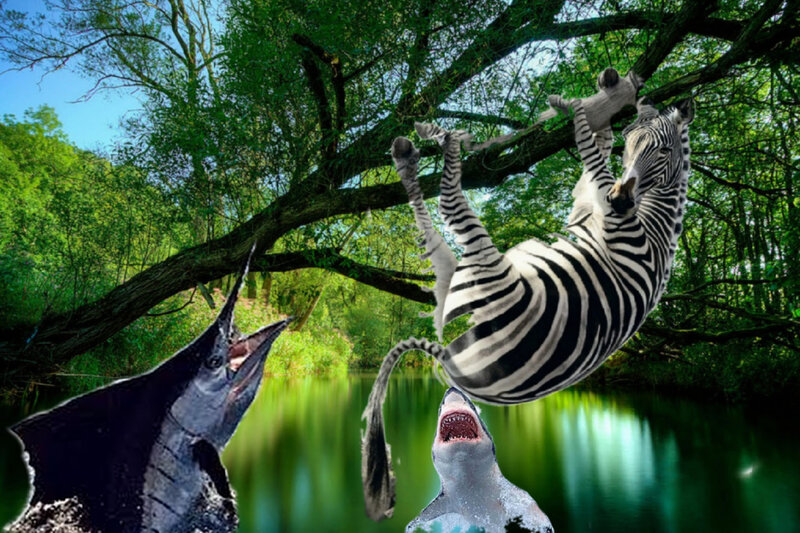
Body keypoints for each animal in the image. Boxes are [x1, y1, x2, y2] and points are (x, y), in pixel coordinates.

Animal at [362, 75, 695, 520]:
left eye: (663, 150)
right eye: (629, 144)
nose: (622, 199)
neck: (656, 225)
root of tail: (450, 360)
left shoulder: (619, 227)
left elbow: (590, 154)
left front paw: (576, 107)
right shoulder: (590, 207)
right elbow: (593, 159)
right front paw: (586, 106)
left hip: (477, 270)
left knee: (448, 200)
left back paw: (433, 147)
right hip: (453, 280)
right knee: (433, 228)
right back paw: (421, 147)